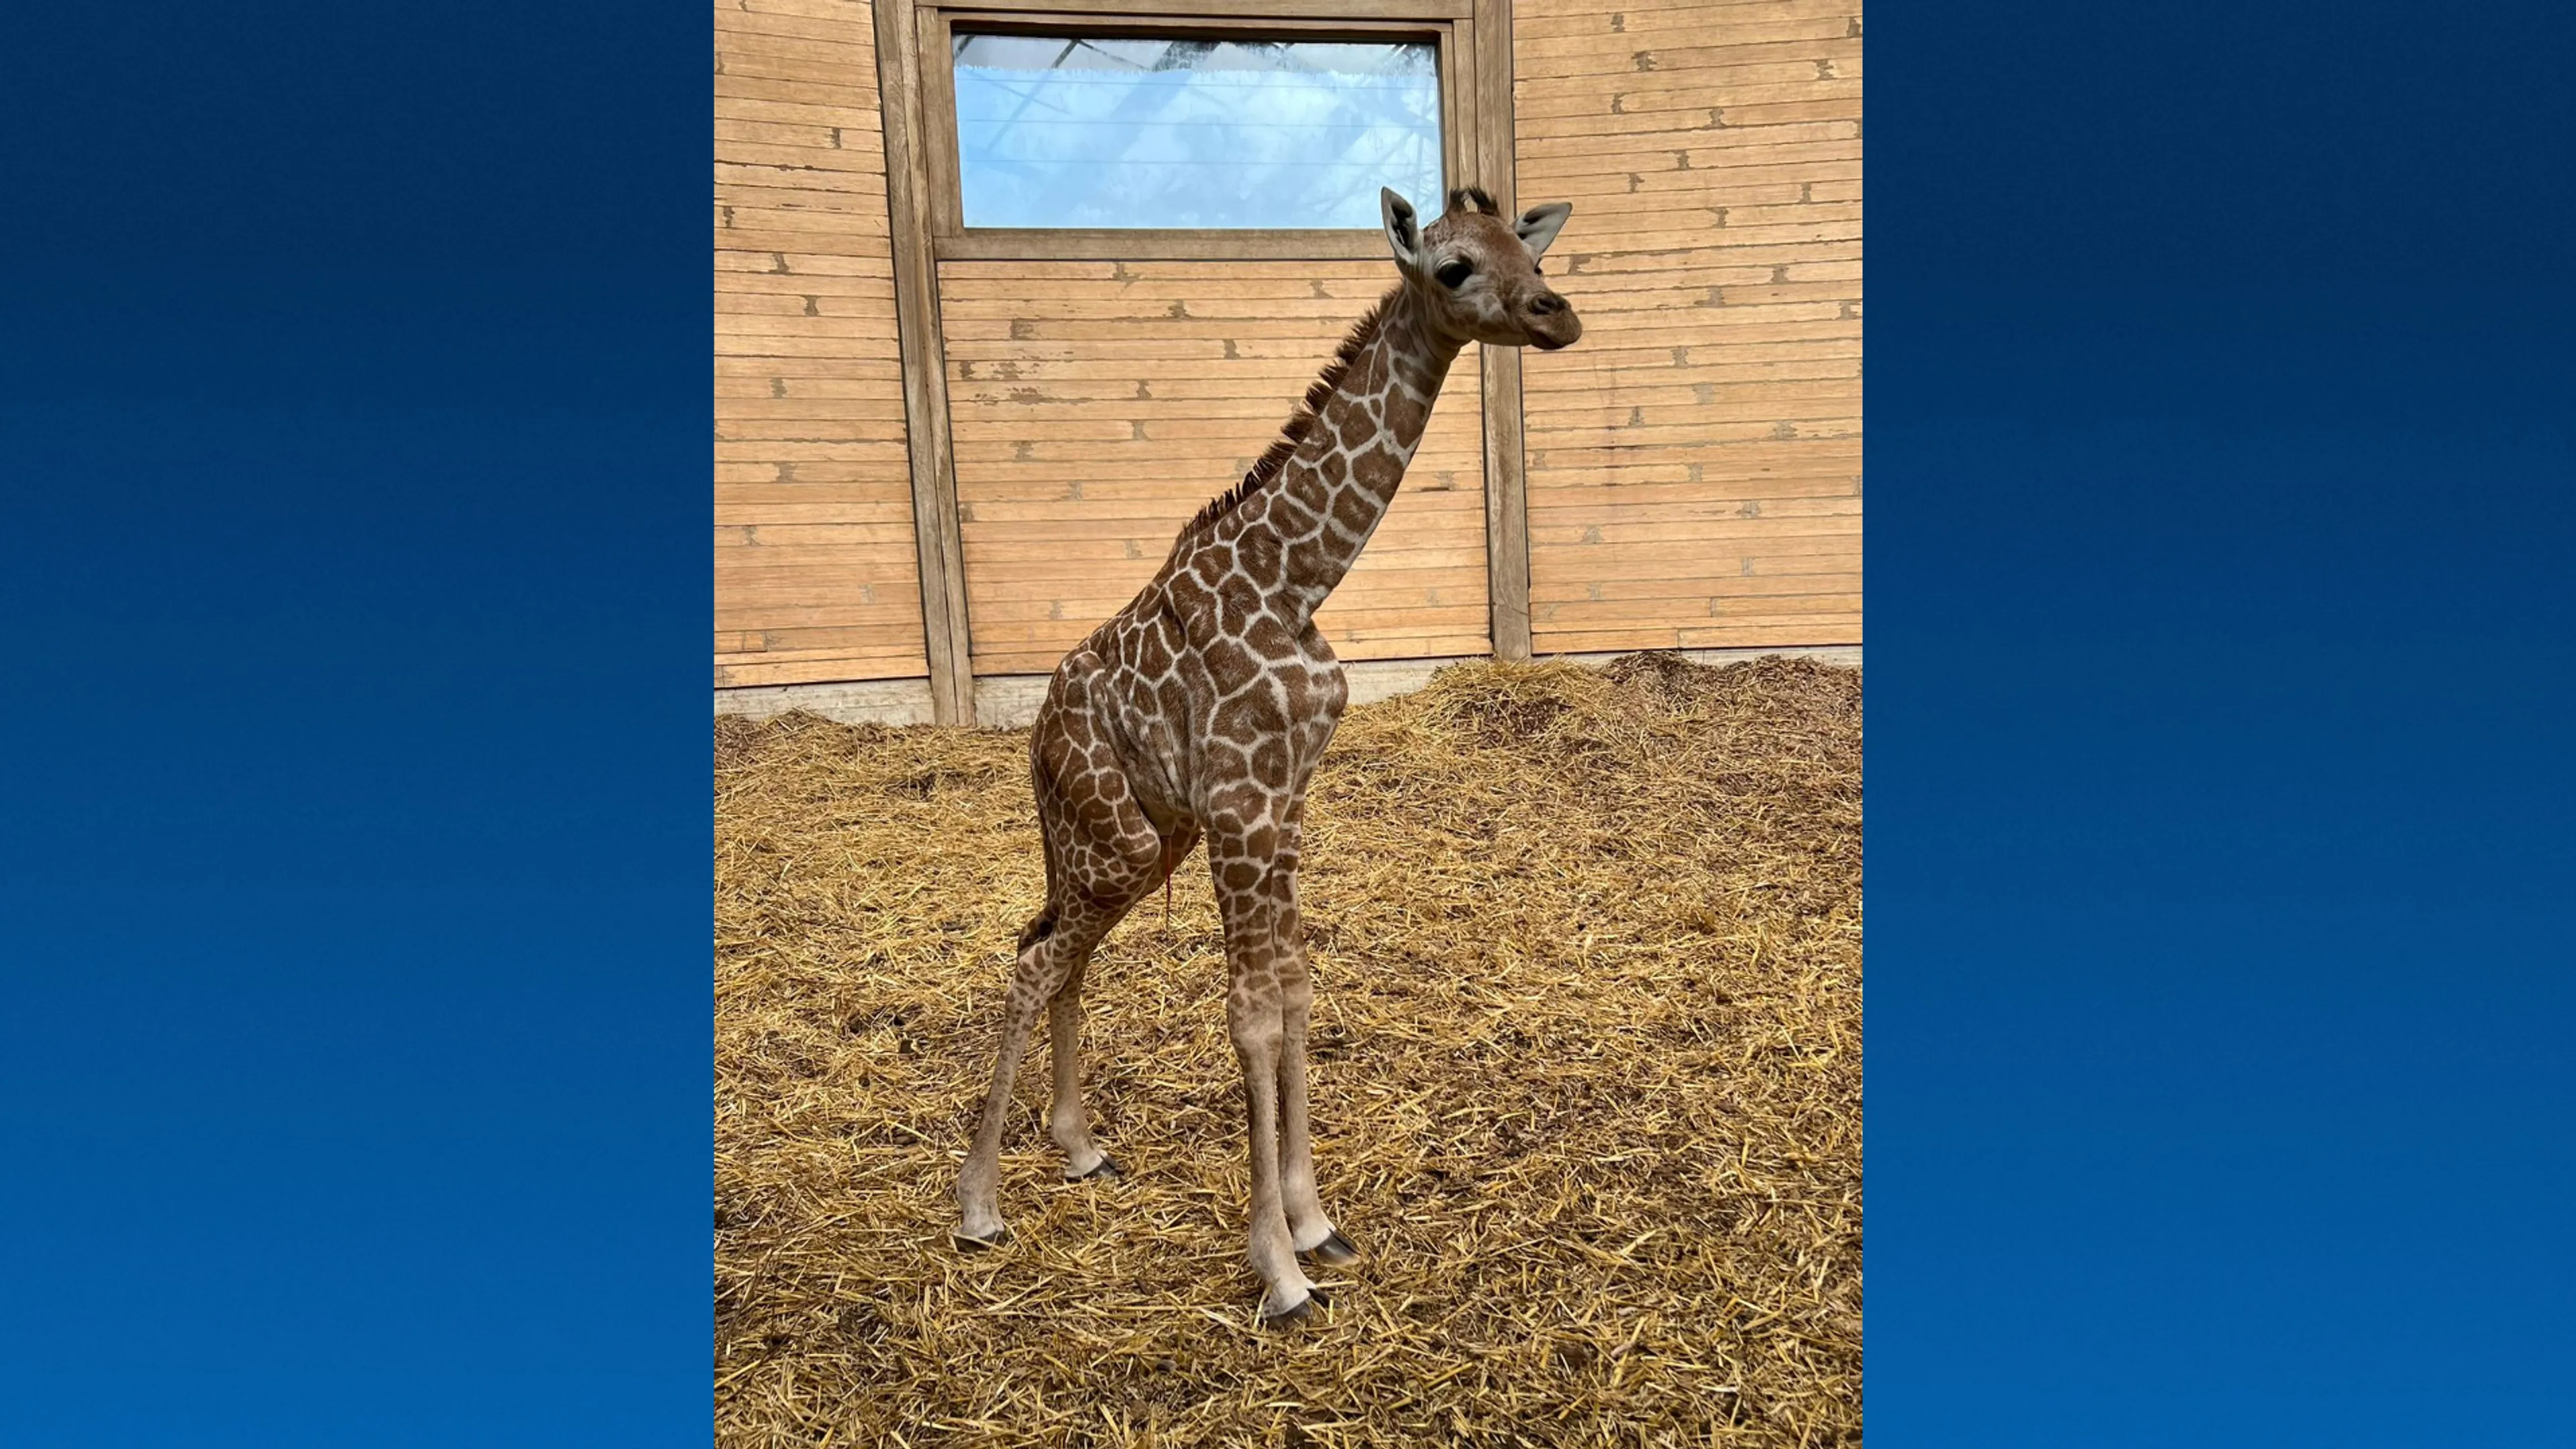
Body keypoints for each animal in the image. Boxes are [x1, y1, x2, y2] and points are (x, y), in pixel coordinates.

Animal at [951, 185, 1581, 1325]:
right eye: (1455, 267)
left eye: (1533, 252)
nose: (1559, 315)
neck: (1298, 583)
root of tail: (1036, 736)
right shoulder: (1244, 802)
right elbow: (1249, 1013)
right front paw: (1279, 1270)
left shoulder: (1286, 801)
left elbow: (1294, 990)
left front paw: (1316, 1221)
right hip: (1121, 840)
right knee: (1036, 958)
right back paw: (979, 1206)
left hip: (1136, 840)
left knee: (1060, 951)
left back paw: (1078, 1148)